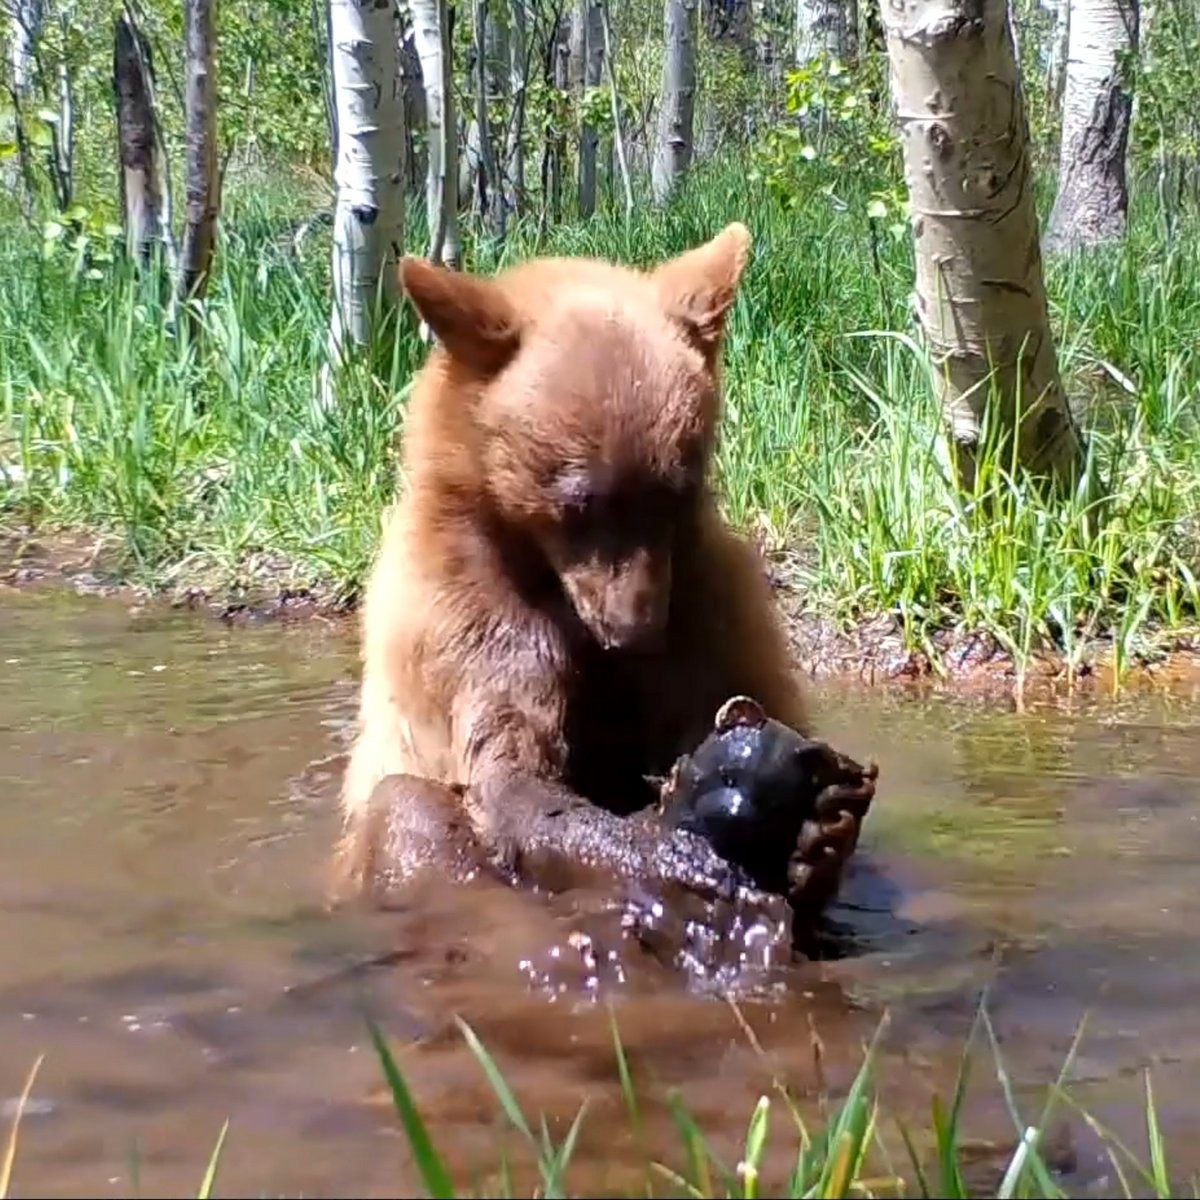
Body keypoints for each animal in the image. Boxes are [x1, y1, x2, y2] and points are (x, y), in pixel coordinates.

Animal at [333, 223, 868, 916]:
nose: (635, 633)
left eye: (674, 491)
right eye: (579, 502)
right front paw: (666, 852)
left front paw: (817, 832)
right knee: (405, 808)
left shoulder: (706, 596)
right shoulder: (466, 612)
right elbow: (508, 769)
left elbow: (735, 694)